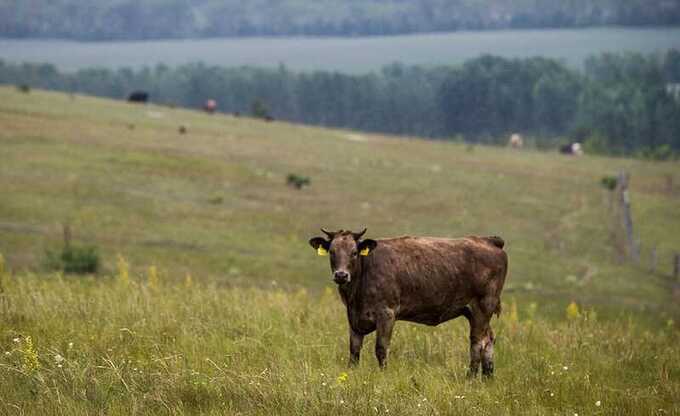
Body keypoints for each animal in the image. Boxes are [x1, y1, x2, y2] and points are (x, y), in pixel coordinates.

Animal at [310, 228, 508, 376]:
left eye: (354, 252)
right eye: (332, 252)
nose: (341, 275)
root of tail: (489, 240)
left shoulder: (386, 313)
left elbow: (381, 348)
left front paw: (383, 375)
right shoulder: (354, 318)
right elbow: (354, 350)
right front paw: (351, 373)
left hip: (483, 306)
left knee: (478, 341)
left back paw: (471, 377)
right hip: (473, 312)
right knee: (489, 339)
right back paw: (487, 377)